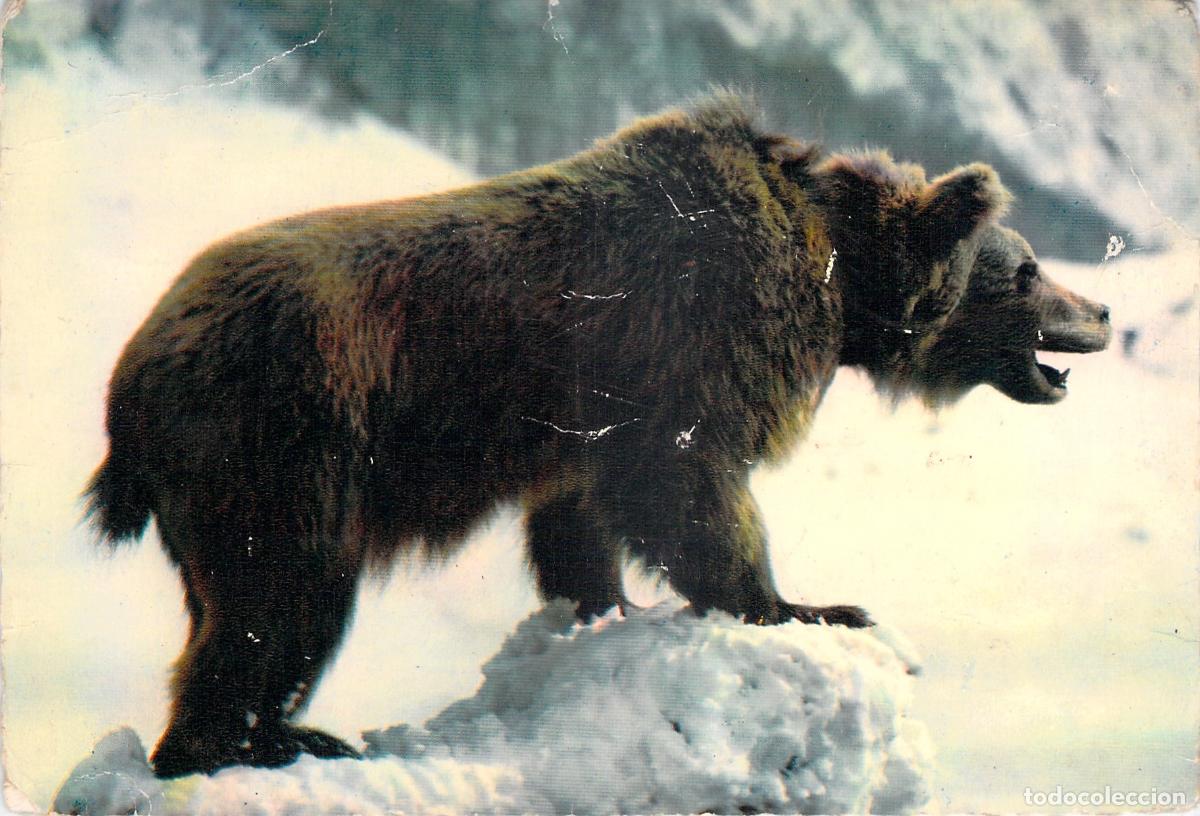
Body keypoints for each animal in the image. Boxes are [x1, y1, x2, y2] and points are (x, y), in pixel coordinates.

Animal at [85, 93, 1111, 777]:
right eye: (1027, 270)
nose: (1099, 310)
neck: (839, 278)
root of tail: (131, 374)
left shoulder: (590, 411)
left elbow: (581, 518)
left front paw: (604, 604)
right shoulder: (692, 334)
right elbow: (691, 485)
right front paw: (807, 605)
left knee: (257, 609)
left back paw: (285, 733)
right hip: (284, 433)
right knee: (281, 596)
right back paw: (253, 743)